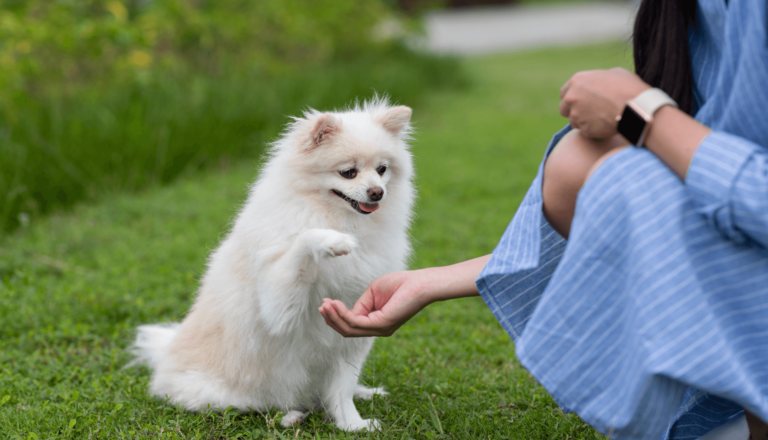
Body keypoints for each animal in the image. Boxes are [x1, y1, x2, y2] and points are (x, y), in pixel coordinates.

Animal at [130, 99, 414, 430]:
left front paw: (352, 424)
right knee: (255, 405)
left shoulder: (351, 333)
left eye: (382, 170)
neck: (337, 216)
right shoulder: (278, 307)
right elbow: (303, 239)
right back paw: (290, 415)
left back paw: (363, 392)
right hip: (226, 394)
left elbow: (342, 388)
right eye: (348, 172)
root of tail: (164, 357)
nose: (377, 192)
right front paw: (332, 241)